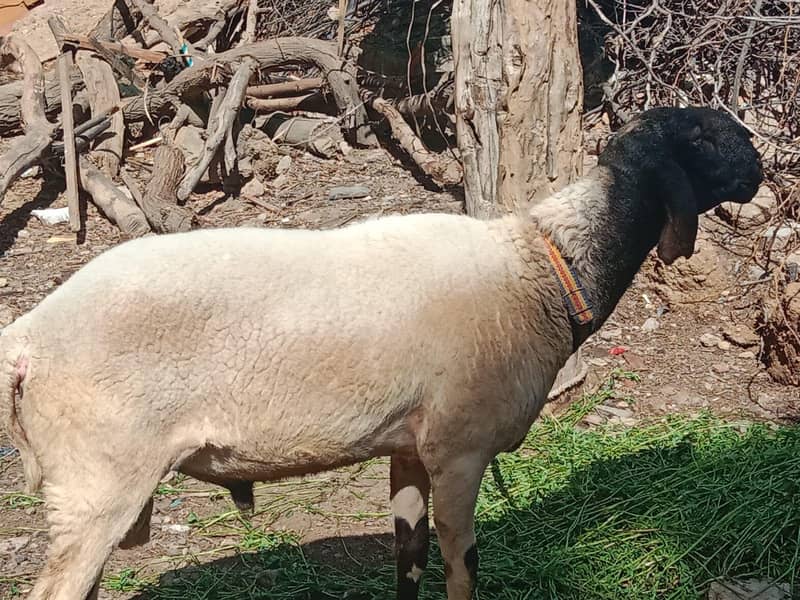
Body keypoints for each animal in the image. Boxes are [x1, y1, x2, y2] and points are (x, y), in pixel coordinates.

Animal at [0, 106, 762, 600]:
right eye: (702, 135)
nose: (758, 166)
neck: (543, 268)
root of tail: (28, 337)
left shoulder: (408, 446)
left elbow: (409, 558)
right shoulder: (461, 447)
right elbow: (464, 566)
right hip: (98, 480)